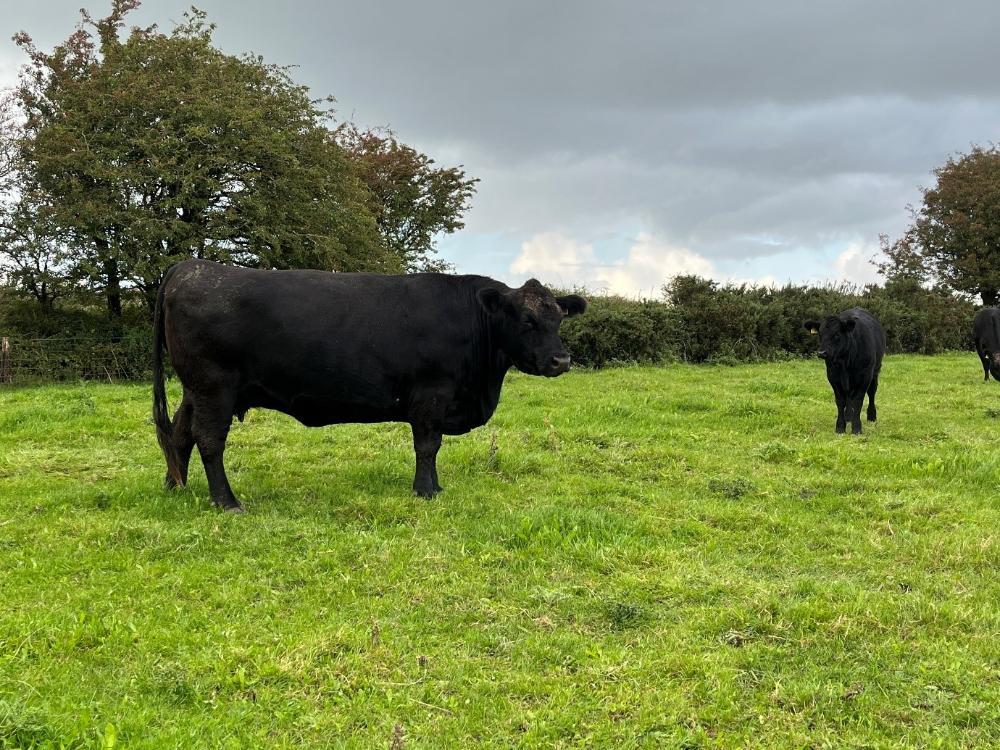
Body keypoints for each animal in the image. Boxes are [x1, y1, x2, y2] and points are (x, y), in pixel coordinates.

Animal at [153, 260, 587, 512]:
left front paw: (435, 487)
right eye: (526, 320)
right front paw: (426, 491)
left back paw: (176, 486)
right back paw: (226, 502)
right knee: (209, 441)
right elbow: (428, 446)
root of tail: (192, 265)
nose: (561, 360)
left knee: (179, 434)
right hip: (214, 387)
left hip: (195, 389)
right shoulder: (431, 395)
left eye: (559, 319)